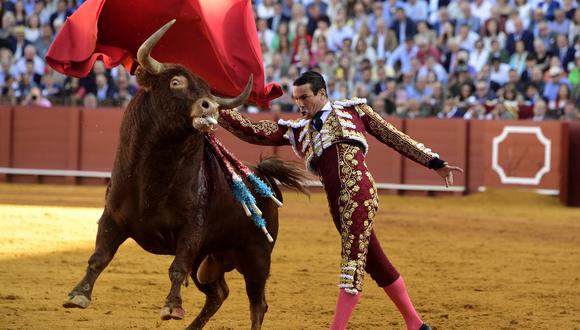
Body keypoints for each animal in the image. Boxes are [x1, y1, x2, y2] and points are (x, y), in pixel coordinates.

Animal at [62, 19, 308, 328]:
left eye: (207, 89)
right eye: (176, 82)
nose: (211, 105)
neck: (153, 177)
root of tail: (265, 180)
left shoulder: (192, 229)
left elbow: (176, 267)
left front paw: (171, 307)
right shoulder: (112, 218)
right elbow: (99, 256)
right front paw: (78, 295)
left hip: (256, 255)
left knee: (257, 303)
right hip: (209, 260)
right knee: (218, 293)